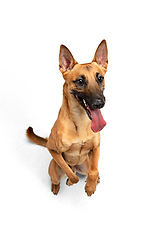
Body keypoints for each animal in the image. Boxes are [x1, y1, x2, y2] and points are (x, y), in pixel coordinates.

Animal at [26, 39, 109, 196]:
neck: (80, 122)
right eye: (80, 81)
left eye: (100, 78)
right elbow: (70, 172)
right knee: (60, 175)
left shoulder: (96, 148)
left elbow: (94, 171)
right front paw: (72, 180)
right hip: (53, 168)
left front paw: (91, 185)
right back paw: (57, 185)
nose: (100, 103)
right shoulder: (52, 149)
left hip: (86, 163)